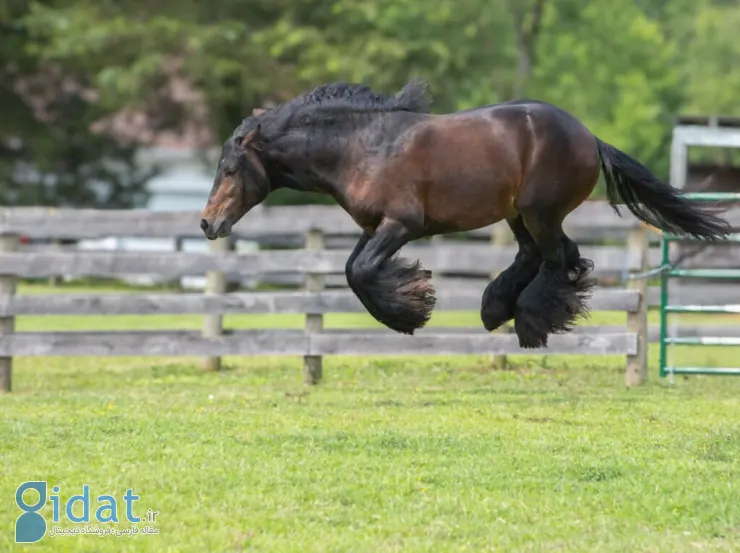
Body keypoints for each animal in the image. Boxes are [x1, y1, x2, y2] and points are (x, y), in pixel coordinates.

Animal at [199, 80, 732, 348]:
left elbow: (363, 272)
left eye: (230, 168)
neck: (360, 147)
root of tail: (589, 137)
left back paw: (530, 322)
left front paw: (410, 311)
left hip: (540, 210)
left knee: (560, 258)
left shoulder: (402, 225)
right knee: (543, 256)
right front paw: (411, 302)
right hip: (519, 215)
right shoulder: (373, 227)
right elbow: (353, 271)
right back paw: (498, 308)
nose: (208, 223)